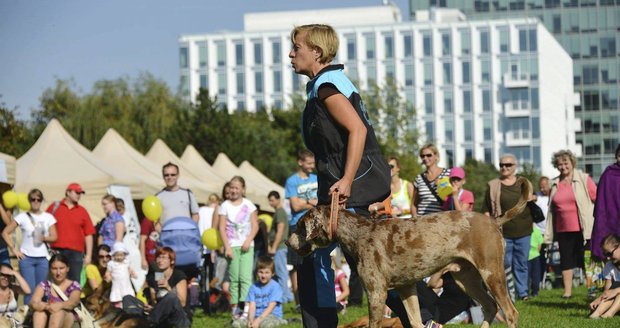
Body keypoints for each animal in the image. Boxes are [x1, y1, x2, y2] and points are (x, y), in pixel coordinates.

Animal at [288, 178, 532, 328]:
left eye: (299, 226)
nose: (287, 242)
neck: (358, 233)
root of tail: (494, 220)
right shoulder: (406, 287)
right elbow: (415, 321)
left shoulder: (376, 292)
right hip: (466, 278)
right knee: (490, 306)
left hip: (491, 272)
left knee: (510, 312)